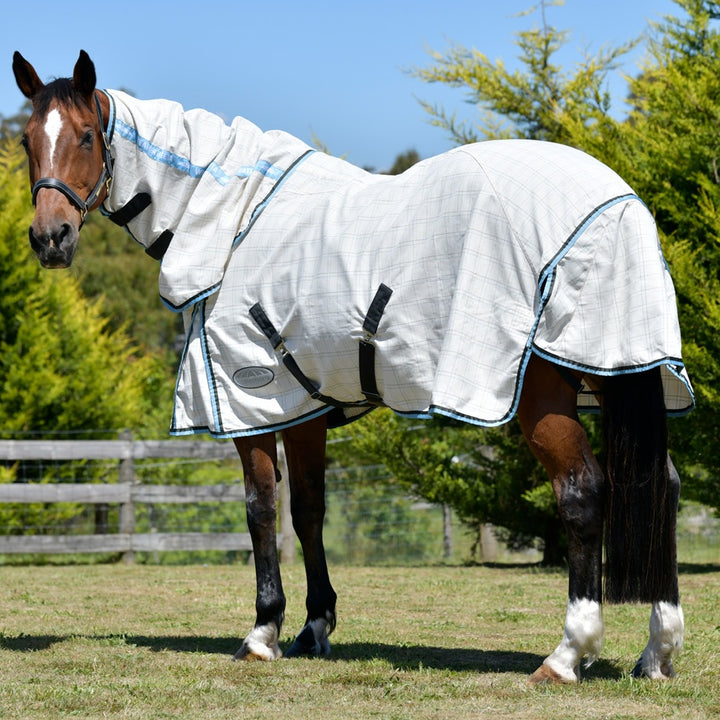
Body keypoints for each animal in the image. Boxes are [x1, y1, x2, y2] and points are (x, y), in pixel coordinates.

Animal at [11, 49, 692, 680]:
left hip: (545, 391)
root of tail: (618, 203)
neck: (230, 219)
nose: (50, 238)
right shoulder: (303, 405)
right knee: (660, 484)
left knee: (582, 492)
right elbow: (309, 511)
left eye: (86, 136)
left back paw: (567, 654)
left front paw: (262, 633)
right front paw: (315, 627)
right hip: (614, 369)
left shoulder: (251, 403)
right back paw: (656, 654)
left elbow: (262, 510)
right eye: (25, 140)